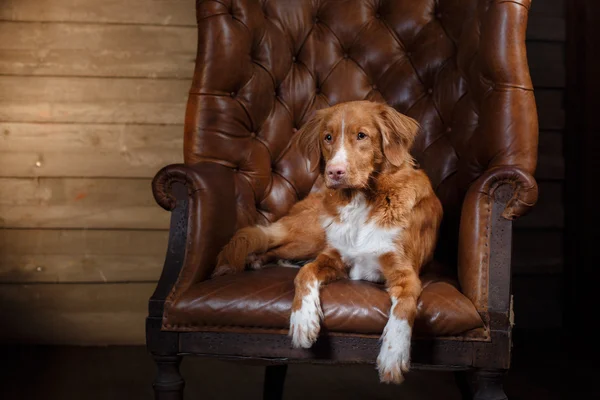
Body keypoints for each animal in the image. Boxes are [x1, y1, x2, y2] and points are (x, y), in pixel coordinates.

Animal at [213, 101, 442, 384]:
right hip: (312, 236)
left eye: (362, 135)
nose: (334, 172)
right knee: (272, 244)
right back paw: (257, 259)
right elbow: (304, 273)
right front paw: (303, 321)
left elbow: (405, 308)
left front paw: (393, 354)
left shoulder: (405, 273)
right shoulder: (333, 257)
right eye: (328, 137)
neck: (361, 202)